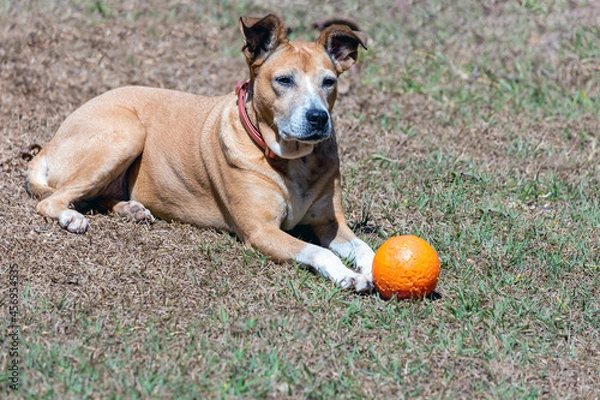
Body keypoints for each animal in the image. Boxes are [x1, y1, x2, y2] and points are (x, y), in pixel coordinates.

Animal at [28, 14, 376, 292]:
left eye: (329, 82)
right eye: (284, 80)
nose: (318, 118)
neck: (294, 160)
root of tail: (50, 143)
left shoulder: (331, 222)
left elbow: (365, 248)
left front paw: (373, 269)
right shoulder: (260, 230)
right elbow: (318, 250)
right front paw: (348, 275)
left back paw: (130, 209)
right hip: (126, 134)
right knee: (52, 200)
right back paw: (71, 216)